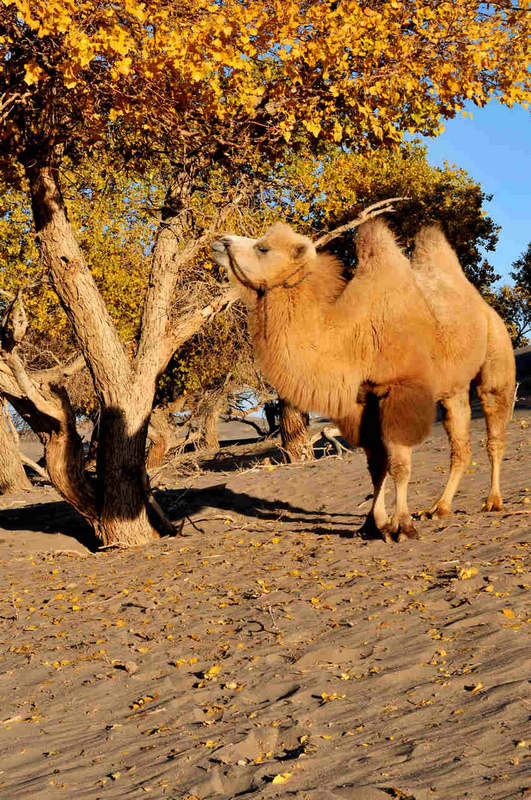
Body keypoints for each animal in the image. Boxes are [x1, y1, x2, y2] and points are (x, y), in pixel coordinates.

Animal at [211, 222, 516, 540]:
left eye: (263, 248)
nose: (221, 242)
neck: (355, 338)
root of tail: (484, 307)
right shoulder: (361, 402)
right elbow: (375, 465)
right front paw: (373, 523)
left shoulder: (398, 391)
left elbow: (400, 464)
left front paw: (402, 526)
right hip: (452, 389)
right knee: (460, 446)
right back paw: (439, 508)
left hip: (496, 354)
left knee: (494, 427)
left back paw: (493, 502)